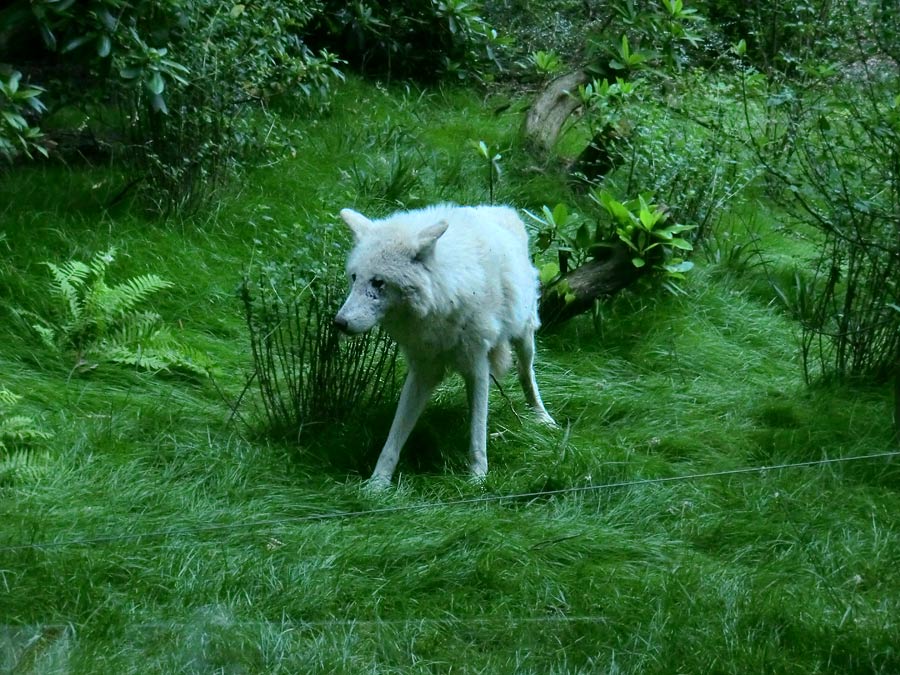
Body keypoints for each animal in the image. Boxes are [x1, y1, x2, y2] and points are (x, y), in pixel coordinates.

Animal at [332, 203, 552, 488]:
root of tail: (502, 209)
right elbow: (395, 435)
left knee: (527, 374)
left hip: (524, 338)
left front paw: (478, 478)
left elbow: (477, 431)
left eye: (378, 282)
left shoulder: (477, 367)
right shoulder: (421, 371)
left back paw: (543, 418)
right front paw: (377, 484)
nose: (339, 322)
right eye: (354, 278)